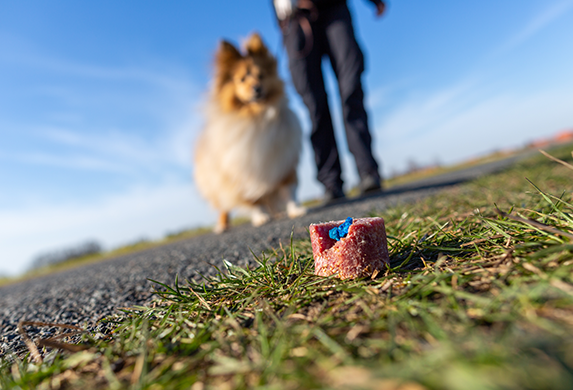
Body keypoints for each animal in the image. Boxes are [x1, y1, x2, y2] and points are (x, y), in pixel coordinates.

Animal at [194, 32, 306, 232]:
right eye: (241, 79)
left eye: (261, 75)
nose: (257, 88)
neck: (257, 117)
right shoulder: (242, 172)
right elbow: (253, 200)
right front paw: (260, 217)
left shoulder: (284, 162)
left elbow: (289, 190)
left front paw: (295, 210)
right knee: (224, 206)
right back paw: (222, 225)